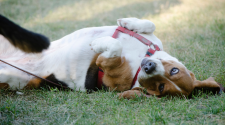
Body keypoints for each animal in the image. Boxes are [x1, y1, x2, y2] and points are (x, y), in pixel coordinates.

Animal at [0, 16, 222, 98]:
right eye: (174, 70)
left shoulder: (105, 65)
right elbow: (150, 24)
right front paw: (129, 23)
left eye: (159, 88)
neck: (140, 57)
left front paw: (98, 44)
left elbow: (114, 47)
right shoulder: (152, 39)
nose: (149, 67)